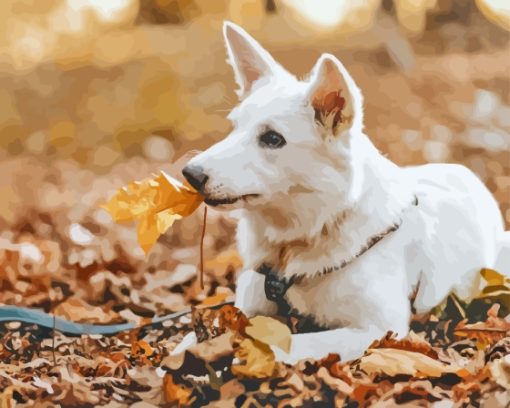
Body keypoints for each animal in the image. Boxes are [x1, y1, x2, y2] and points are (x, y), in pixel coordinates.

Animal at [177, 22, 508, 362]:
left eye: (272, 138)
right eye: (235, 127)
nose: (190, 174)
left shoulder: (377, 329)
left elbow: (292, 343)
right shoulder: (247, 303)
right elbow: (187, 339)